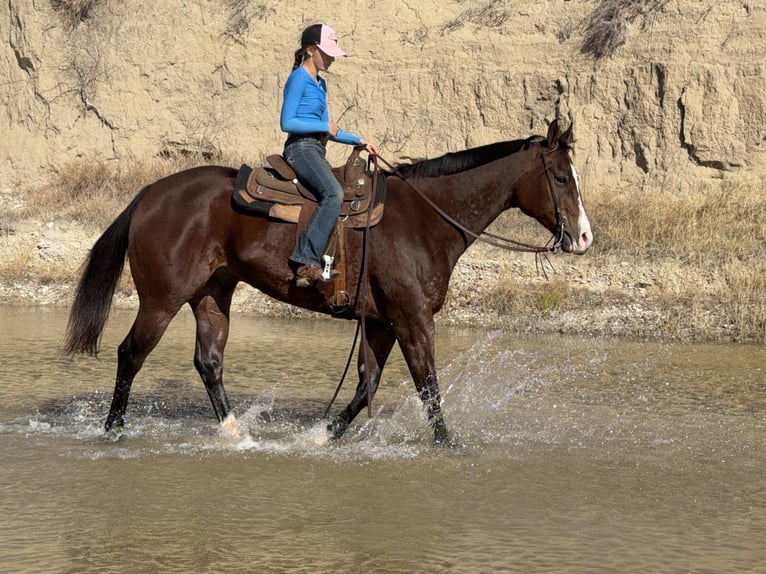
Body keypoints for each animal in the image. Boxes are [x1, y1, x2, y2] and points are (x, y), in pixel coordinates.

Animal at [64, 119, 593, 446]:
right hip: (162, 298)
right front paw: (449, 445)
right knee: (130, 354)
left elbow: (366, 385)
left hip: (212, 293)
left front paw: (322, 436)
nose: (585, 236)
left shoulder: (380, 321)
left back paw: (235, 433)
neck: (424, 218)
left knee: (208, 362)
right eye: (561, 178)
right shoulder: (412, 317)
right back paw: (113, 431)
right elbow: (427, 385)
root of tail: (151, 193)